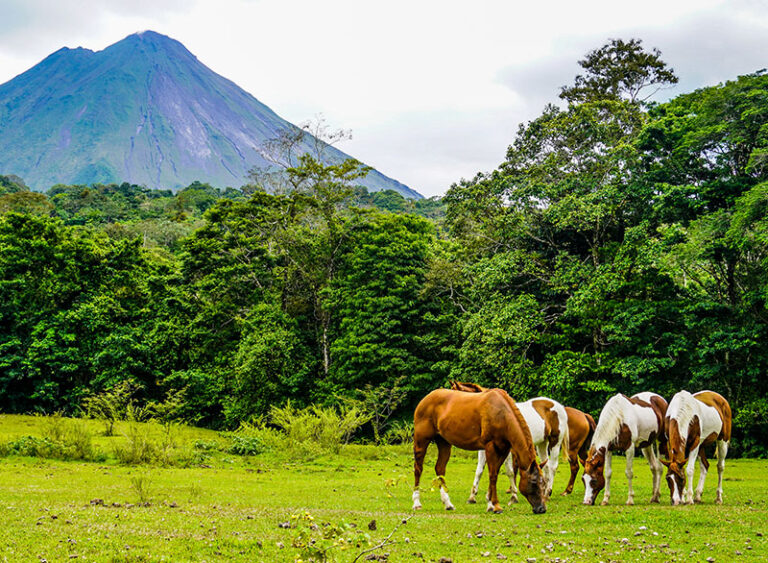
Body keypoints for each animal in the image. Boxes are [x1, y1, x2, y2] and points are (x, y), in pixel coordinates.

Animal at [414, 388, 544, 516]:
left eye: (543, 482)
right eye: (533, 482)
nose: (541, 509)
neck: (501, 414)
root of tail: (426, 399)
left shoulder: (503, 450)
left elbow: (495, 473)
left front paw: (490, 504)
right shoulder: (490, 447)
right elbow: (493, 475)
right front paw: (496, 506)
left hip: (444, 443)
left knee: (440, 469)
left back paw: (448, 504)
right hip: (421, 441)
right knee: (418, 469)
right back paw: (416, 503)